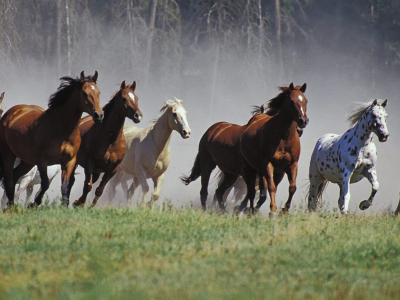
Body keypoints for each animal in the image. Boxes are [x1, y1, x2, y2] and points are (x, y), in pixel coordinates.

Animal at [0, 70, 104, 207]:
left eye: (98, 92)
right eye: (84, 93)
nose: (99, 115)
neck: (62, 131)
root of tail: (12, 112)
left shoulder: (69, 161)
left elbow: (65, 187)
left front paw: (64, 207)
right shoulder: (42, 161)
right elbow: (45, 184)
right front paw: (33, 204)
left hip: (27, 161)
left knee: (14, 176)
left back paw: (10, 207)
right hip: (8, 154)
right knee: (9, 180)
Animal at [71, 79, 143, 207]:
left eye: (136, 98)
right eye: (124, 98)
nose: (137, 116)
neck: (110, 141)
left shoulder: (112, 169)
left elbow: (99, 190)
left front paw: (89, 207)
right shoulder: (89, 165)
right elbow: (88, 187)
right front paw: (81, 204)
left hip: (97, 171)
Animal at [182, 83, 310, 214]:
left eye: (306, 101)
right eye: (291, 101)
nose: (303, 122)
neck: (282, 140)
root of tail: (212, 129)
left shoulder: (288, 167)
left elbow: (290, 188)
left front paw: (282, 211)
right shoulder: (265, 166)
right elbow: (268, 189)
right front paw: (270, 211)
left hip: (230, 173)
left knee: (220, 192)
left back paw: (224, 212)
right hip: (208, 164)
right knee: (205, 191)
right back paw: (207, 211)